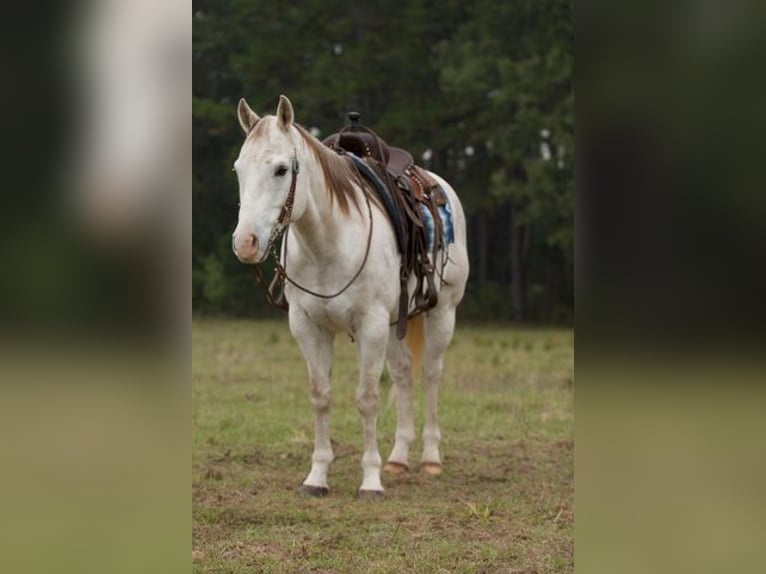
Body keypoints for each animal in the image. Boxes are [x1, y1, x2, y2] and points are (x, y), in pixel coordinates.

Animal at [231, 97, 468, 498]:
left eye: (281, 169)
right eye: (238, 169)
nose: (245, 242)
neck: (328, 242)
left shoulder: (370, 325)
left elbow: (367, 399)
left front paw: (370, 481)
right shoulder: (308, 327)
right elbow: (320, 396)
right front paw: (317, 477)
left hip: (441, 313)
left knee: (431, 373)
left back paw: (430, 458)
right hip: (395, 321)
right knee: (403, 373)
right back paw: (399, 458)